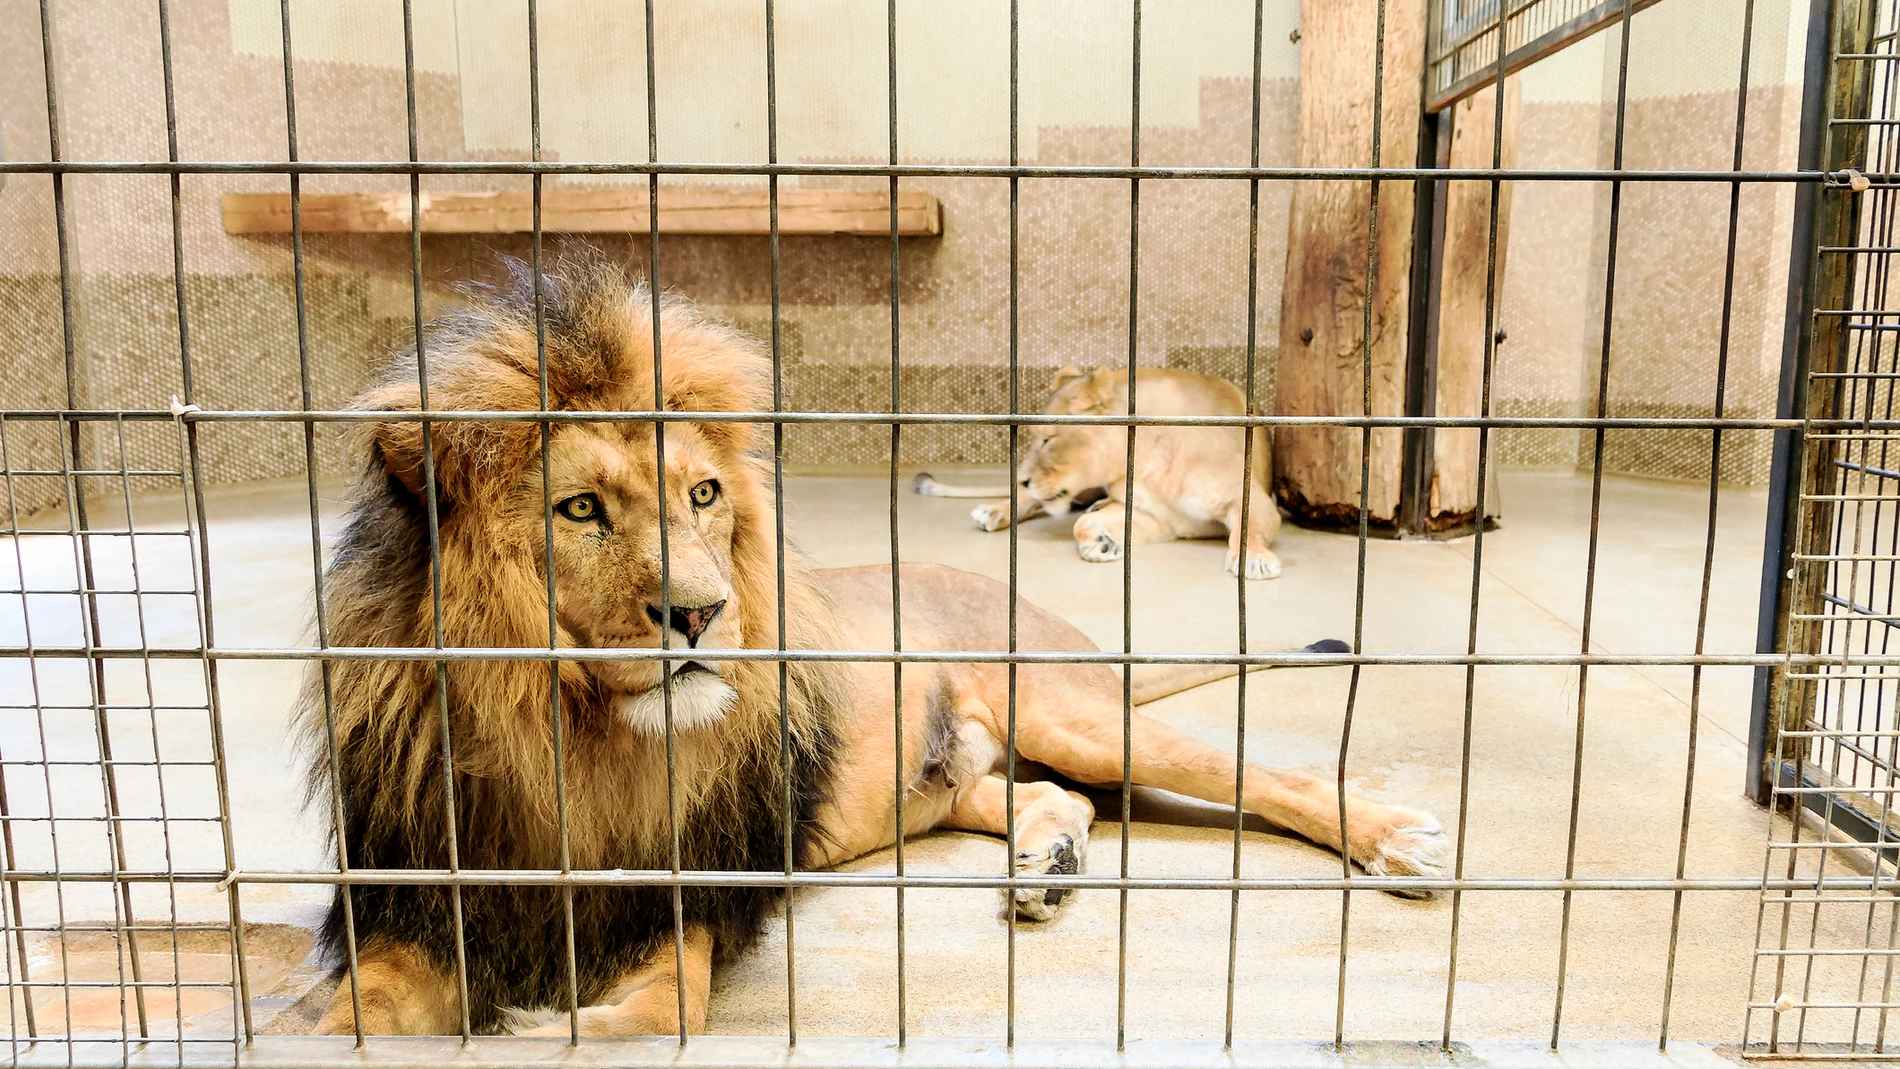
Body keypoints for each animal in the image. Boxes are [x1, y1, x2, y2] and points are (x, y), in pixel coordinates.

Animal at [913, 366, 1283, 579]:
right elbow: (1079, 523)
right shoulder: (1154, 514)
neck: (1144, 460)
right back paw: (994, 511)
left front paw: (1254, 561)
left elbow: (1248, 528)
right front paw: (1102, 543)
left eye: (1047, 439)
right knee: (1037, 503)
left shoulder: (1249, 499)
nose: (1024, 479)